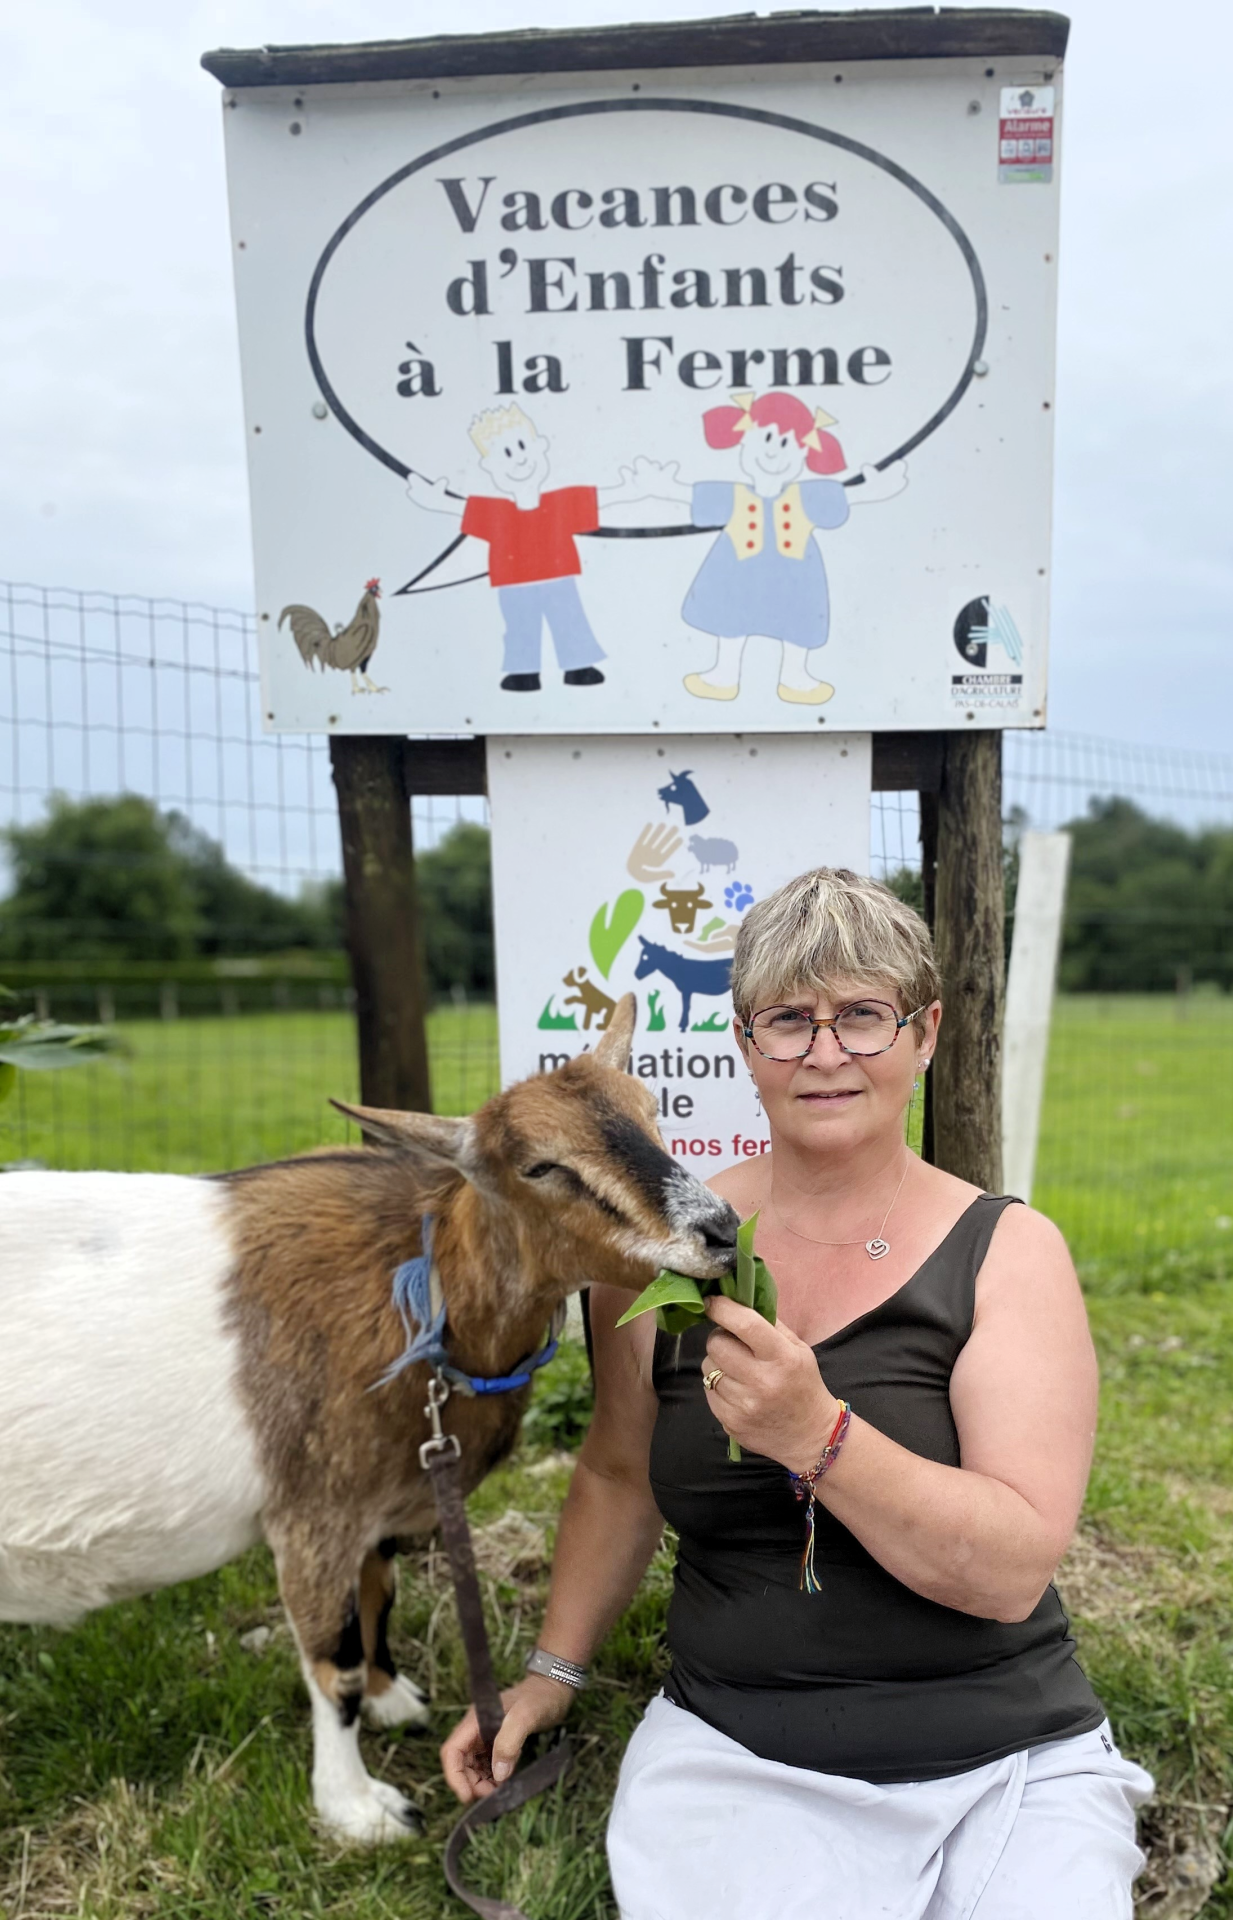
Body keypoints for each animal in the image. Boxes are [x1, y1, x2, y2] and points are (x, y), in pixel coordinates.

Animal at [0, 998, 733, 1835]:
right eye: (539, 1166)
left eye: (652, 1113)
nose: (719, 1231)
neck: (420, 1296)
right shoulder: (312, 1511)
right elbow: (334, 1663)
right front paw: (358, 1809)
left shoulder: (377, 1504)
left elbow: (379, 1595)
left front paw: (394, 1701)